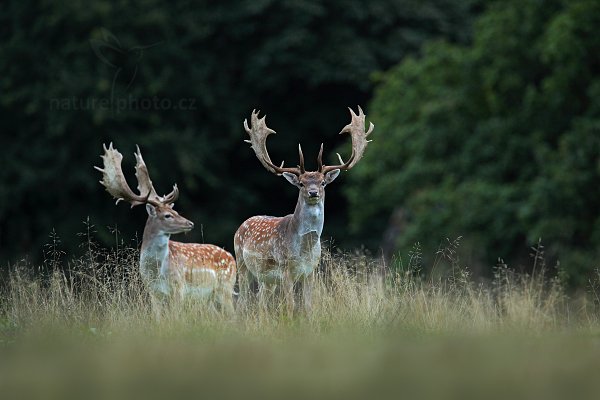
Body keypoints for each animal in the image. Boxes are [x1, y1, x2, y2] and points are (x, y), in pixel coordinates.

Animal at [95, 144, 236, 312]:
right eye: (168, 215)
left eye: (176, 211)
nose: (190, 223)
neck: (156, 271)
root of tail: (232, 257)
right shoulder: (152, 291)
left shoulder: (179, 287)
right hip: (211, 297)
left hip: (225, 288)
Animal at [236, 106, 372, 312]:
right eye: (301, 183)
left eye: (323, 182)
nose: (313, 192)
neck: (304, 250)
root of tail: (242, 225)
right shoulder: (285, 269)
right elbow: (290, 306)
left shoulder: (310, 271)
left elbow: (308, 306)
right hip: (242, 264)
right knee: (242, 300)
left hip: (266, 279)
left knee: (261, 302)